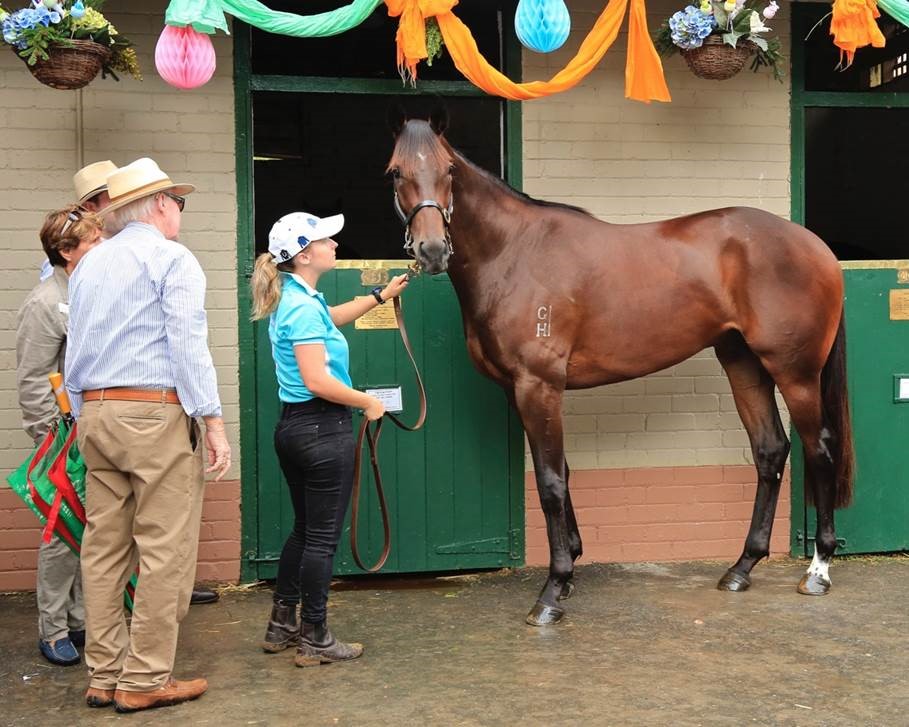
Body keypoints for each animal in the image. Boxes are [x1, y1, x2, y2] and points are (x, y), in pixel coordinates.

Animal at [386, 111, 854, 626]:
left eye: (449, 170)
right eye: (395, 172)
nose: (431, 250)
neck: (513, 253)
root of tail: (817, 247)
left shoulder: (539, 385)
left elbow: (550, 483)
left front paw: (553, 591)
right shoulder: (520, 390)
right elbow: (561, 471)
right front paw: (570, 566)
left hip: (796, 373)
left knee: (820, 449)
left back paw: (818, 570)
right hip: (742, 362)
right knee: (770, 451)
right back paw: (741, 568)